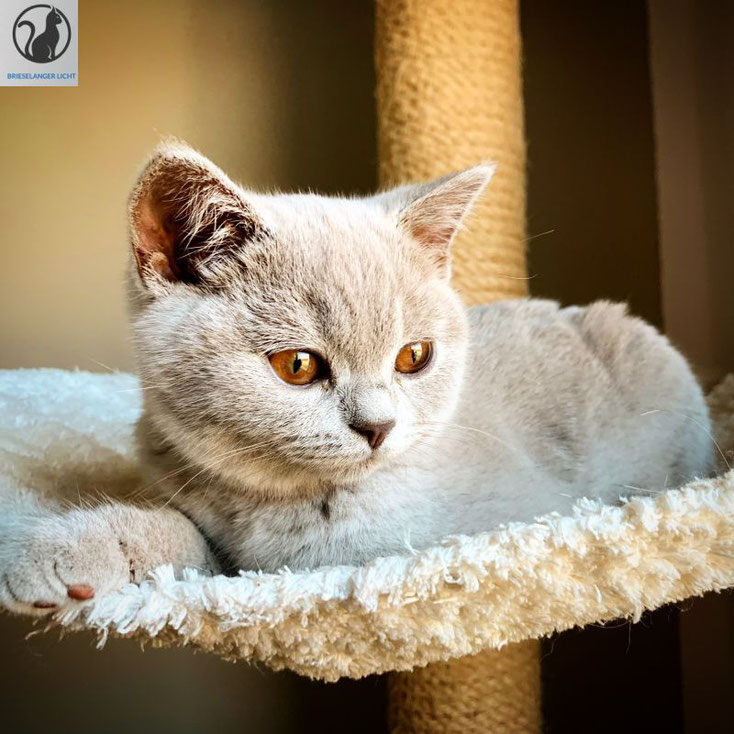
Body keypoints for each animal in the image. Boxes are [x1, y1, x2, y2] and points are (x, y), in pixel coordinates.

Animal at [0, 142, 712, 616]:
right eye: (298, 366)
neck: (278, 509)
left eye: (414, 357)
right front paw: (74, 551)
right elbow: (188, 545)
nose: (379, 426)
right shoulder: (223, 549)